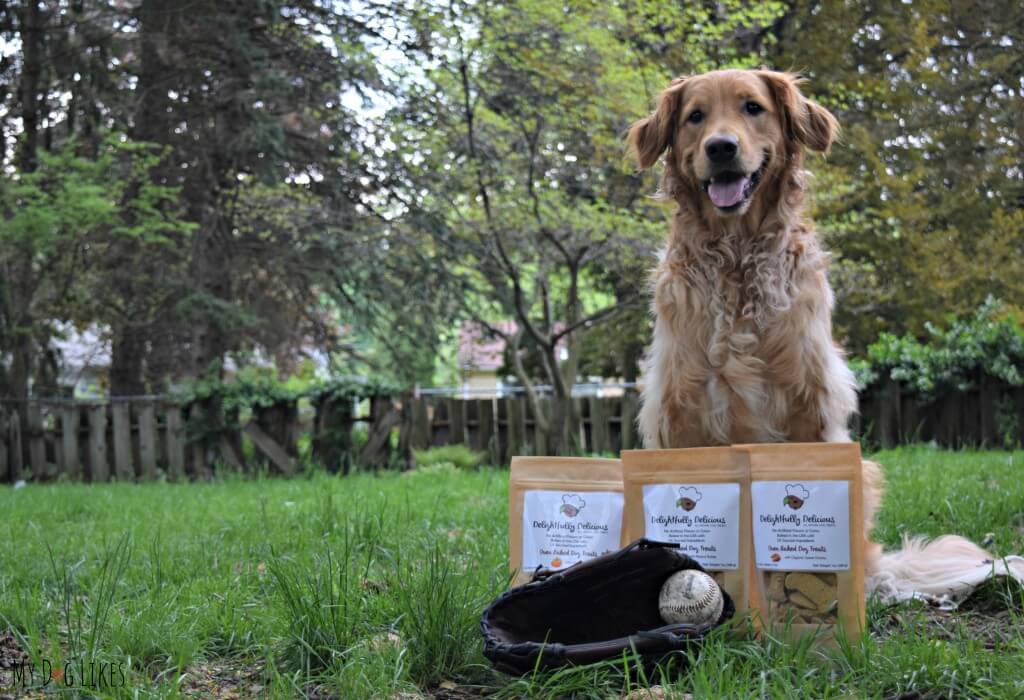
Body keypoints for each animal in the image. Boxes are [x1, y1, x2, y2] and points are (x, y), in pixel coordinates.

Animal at [630, 72, 1015, 605]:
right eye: (695, 116)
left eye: (752, 107)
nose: (721, 147)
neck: (737, 259)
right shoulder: (680, 411)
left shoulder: (810, 405)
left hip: (865, 472)